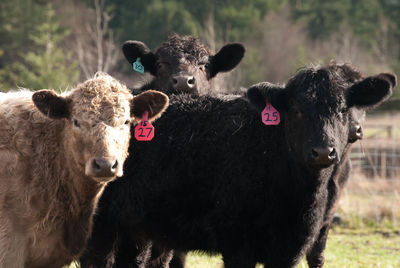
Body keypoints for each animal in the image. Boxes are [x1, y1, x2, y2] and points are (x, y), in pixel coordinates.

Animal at [79, 64, 396, 268]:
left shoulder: (290, 247)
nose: (322, 151)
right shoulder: (237, 242)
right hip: (98, 226)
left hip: (135, 228)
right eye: (296, 109)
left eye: (343, 109)